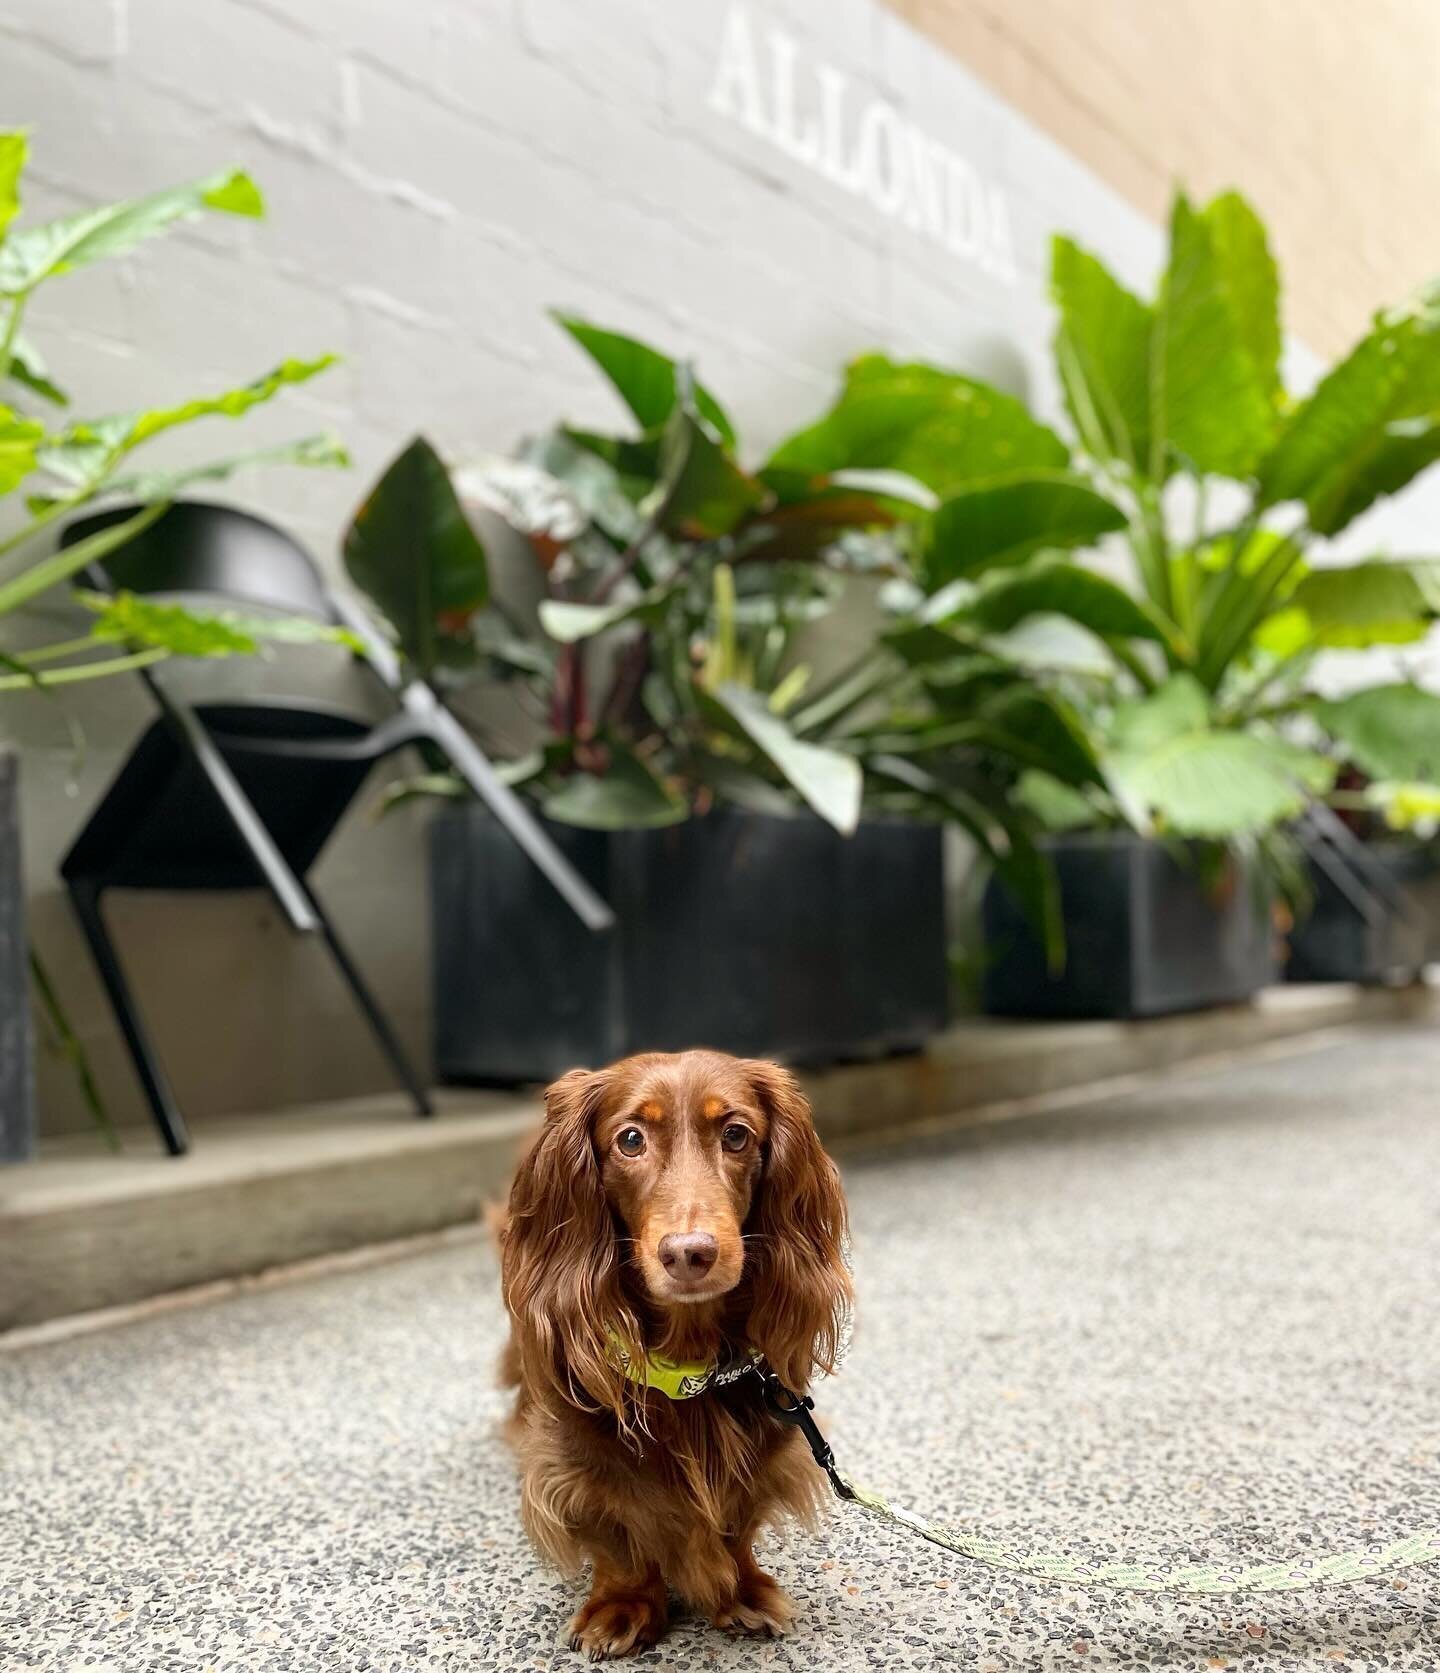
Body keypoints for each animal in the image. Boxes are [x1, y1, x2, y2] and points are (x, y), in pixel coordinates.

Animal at [498, 1043, 849, 1659]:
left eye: (735, 1134)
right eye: (630, 1139)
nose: (690, 1253)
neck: (686, 1366)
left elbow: (736, 1522)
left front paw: (742, 1590)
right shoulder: (579, 1464)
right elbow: (620, 1538)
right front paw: (624, 1605)